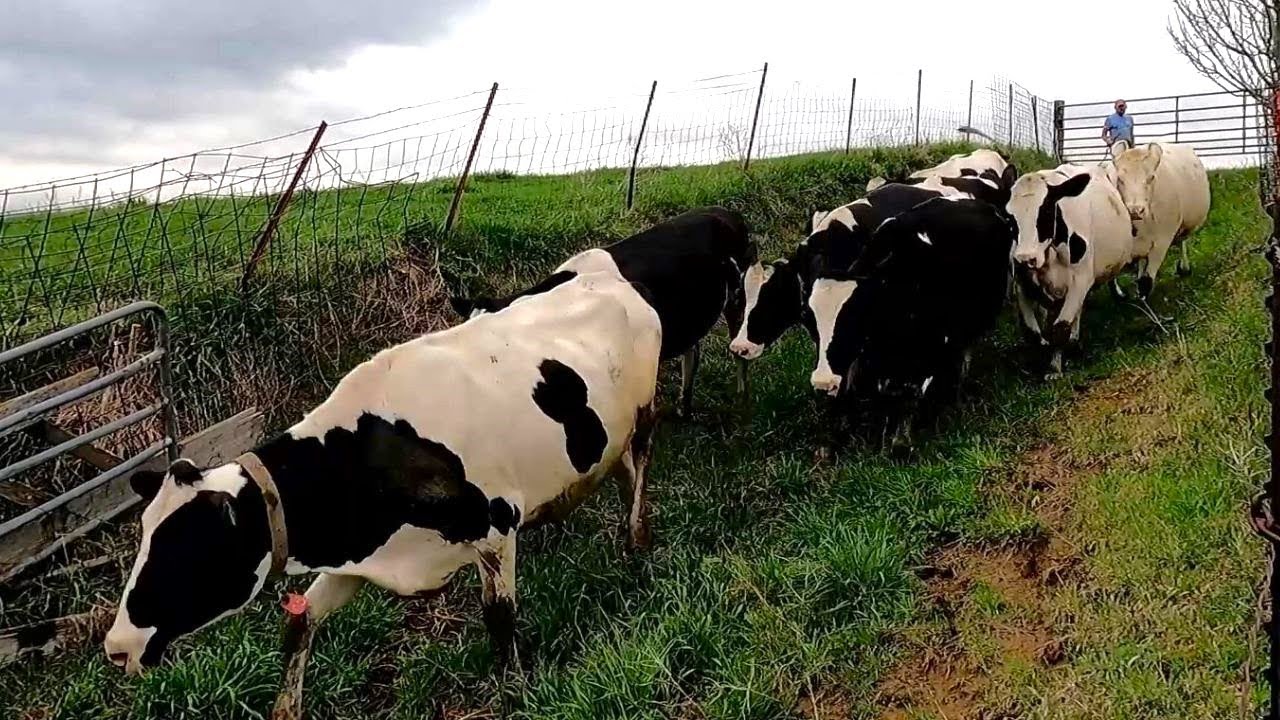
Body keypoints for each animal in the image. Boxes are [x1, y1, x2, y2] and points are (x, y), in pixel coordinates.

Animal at [104, 270, 663, 720]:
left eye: (189, 547)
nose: (115, 647)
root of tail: (607, 278)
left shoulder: (495, 527)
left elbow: (499, 618)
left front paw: (516, 692)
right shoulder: (354, 557)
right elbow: (300, 622)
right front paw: (286, 708)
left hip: (644, 415)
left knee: (640, 470)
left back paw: (637, 539)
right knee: (620, 472)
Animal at [450, 206, 755, 416]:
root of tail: (724, 211)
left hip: (738, 296)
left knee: (739, 343)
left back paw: (742, 396)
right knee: (693, 351)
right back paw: (684, 407)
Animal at [1007, 166, 1134, 376]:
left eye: (1046, 210)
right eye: (1009, 216)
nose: (1025, 258)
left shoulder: (1080, 281)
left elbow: (1060, 328)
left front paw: (1054, 368)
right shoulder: (1022, 285)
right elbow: (1032, 333)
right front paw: (1042, 355)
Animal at [1112, 142, 1211, 295]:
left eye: (1151, 177)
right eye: (1120, 179)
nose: (1135, 210)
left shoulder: (1162, 241)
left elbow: (1146, 283)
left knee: (1182, 241)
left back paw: (1184, 268)